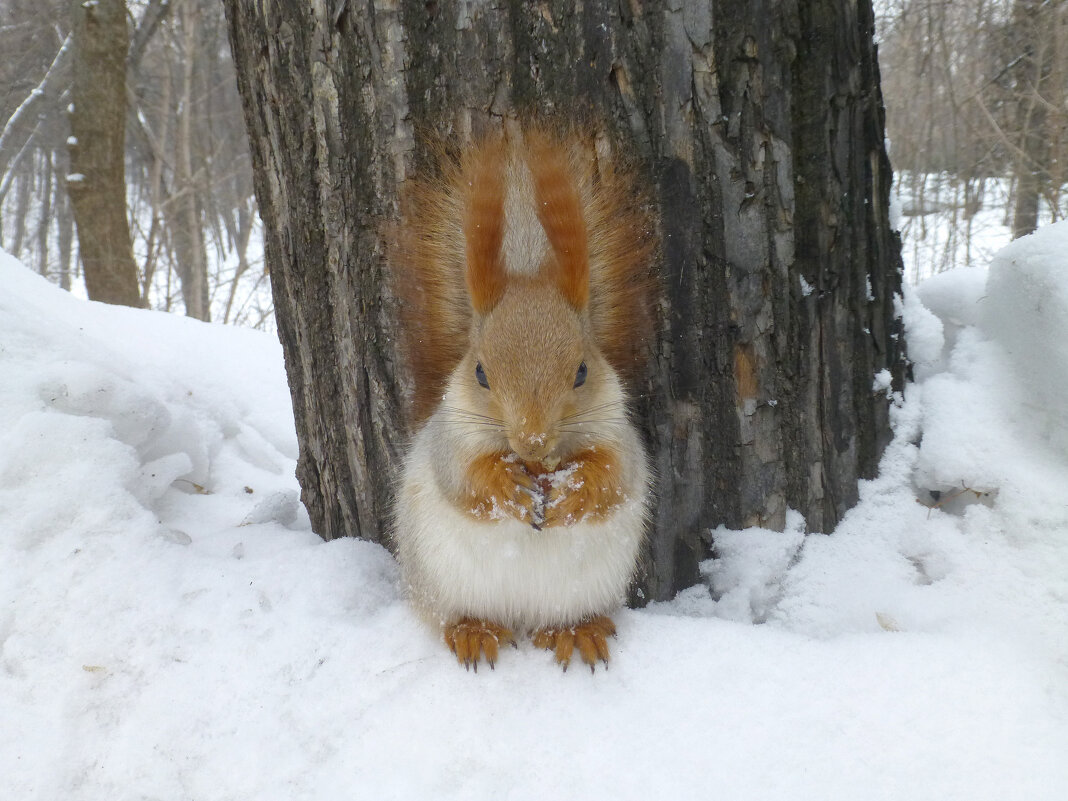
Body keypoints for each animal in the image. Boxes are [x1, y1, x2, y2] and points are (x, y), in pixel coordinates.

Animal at [393, 125, 657, 674]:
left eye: (582, 370)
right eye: (479, 372)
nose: (532, 440)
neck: (538, 463)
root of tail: (520, 619)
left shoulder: (619, 433)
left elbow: (615, 475)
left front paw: (575, 490)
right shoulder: (449, 440)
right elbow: (463, 480)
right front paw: (505, 488)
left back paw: (577, 631)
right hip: (439, 584)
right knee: (457, 616)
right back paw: (474, 631)